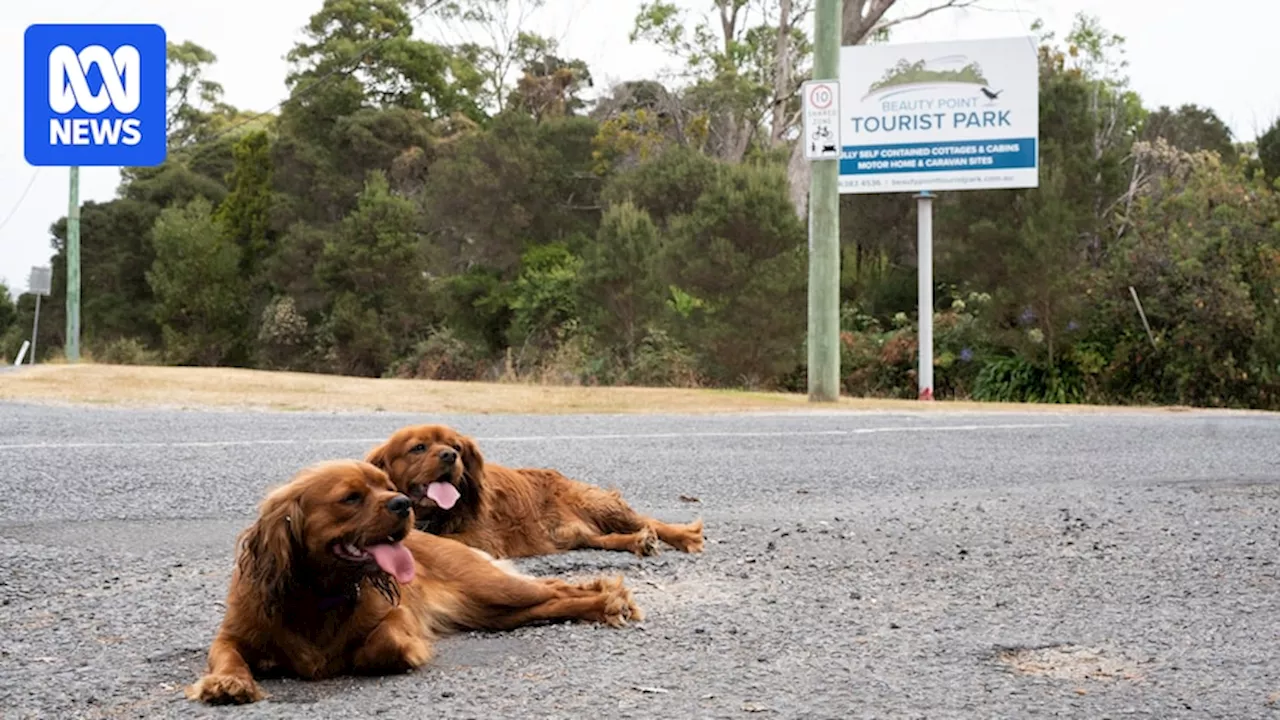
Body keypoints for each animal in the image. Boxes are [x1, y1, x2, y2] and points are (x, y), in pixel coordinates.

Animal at [185, 458, 640, 702]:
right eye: (351, 497)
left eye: (388, 486)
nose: (403, 503)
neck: (318, 595)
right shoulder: (231, 634)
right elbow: (227, 655)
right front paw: (228, 682)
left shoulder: (397, 617)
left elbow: (382, 644)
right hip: (496, 613)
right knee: (551, 601)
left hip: (493, 590)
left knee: (558, 588)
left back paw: (609, 600)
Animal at [363, 422, 711, 558]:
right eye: (418, 448)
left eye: (457, 447)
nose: (451, 456)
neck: (432, 514)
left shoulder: (482, 538)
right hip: (573, 534)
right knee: (607, 538)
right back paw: (638, 543)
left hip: (599, 503)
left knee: (651, 522)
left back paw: (683, 537)